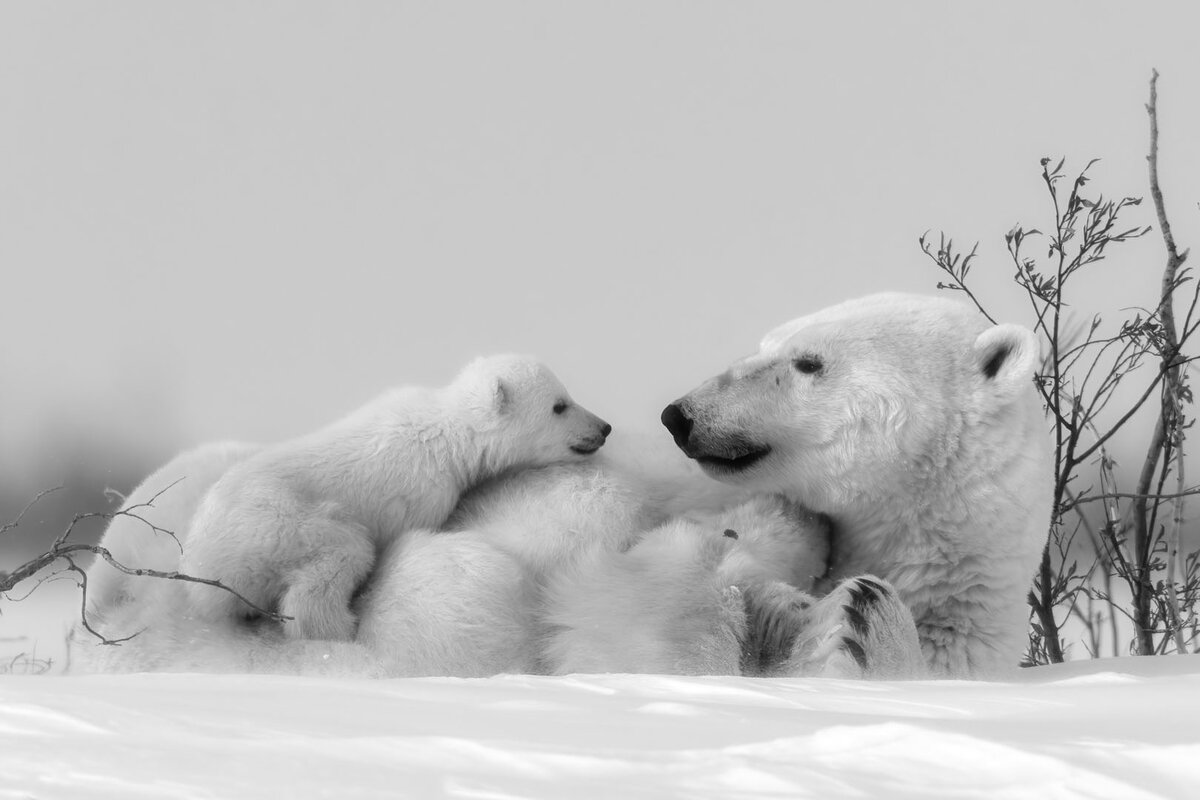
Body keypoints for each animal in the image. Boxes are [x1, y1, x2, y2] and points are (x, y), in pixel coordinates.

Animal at [178, 354, 611, 641]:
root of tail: (200, 563)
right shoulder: (422, 490)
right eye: (559, 405)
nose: (604, 427)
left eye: (565, 396)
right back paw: (341, 626)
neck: (451, 434)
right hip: (284, 524)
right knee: (340, 556)